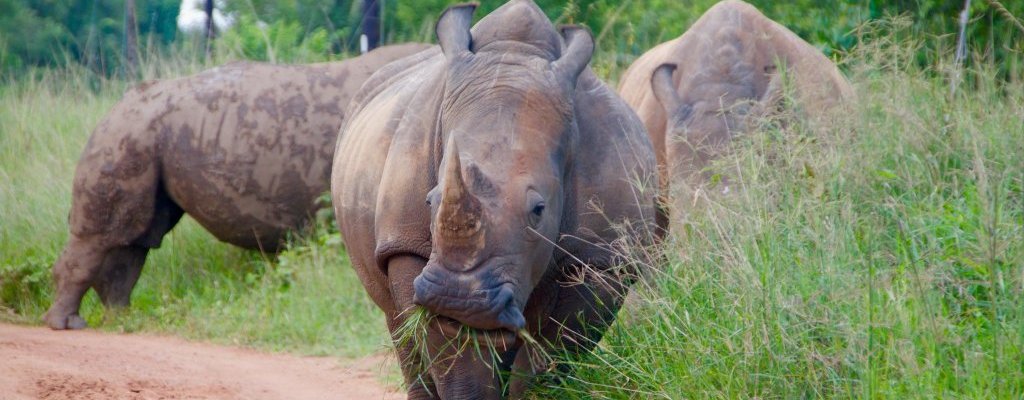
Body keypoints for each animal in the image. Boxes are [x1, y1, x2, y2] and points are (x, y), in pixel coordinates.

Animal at [43, 43, 431, 330]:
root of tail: (118, 104)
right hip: (128, 133)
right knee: (107, 234)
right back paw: (68, 324)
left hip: (142, 134)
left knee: (137, 237)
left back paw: (121, 319)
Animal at [330, 1, 658, 398]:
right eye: (429, 201)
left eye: (538, 210)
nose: (459, 298)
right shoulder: (405, 243)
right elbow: (455, 357)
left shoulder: (601, 259)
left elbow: (550, 360)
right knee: (400, 328)